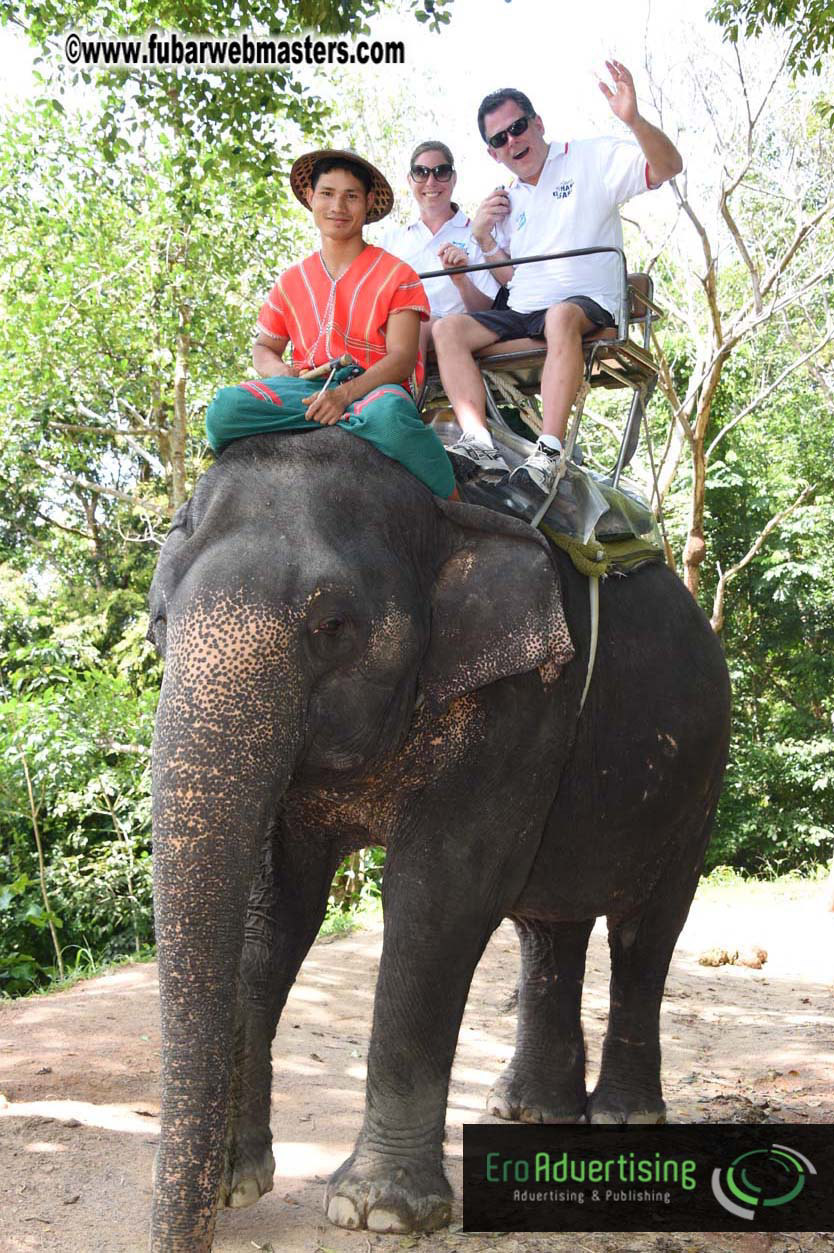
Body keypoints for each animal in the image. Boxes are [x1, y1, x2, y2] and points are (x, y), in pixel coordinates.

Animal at [147, 428, 730, 1251]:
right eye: (160, 625)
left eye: (332, 627)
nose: (187, 1226)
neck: (440, 508)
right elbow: (273, 914)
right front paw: (235, 1186)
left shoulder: (523, 700)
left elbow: (439, 899)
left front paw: (378, 1210)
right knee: (549, 929)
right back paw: (531, 1110)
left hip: (701, 782)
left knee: (646, 932)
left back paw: (624, 1119)